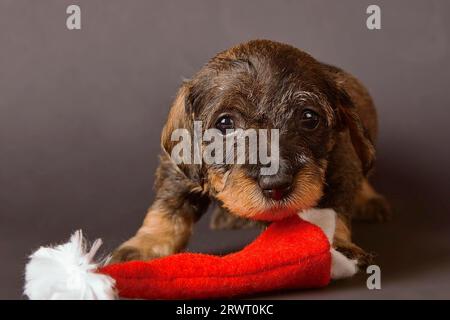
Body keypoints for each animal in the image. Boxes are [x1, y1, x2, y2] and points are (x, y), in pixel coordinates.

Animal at [110, 39, 390, 264]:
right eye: (225, 123)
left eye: (309, 118)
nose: (276, 185)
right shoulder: (178, 171)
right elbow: (169, 208)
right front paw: (145, 245)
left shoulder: (341, 167)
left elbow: (330, 210)